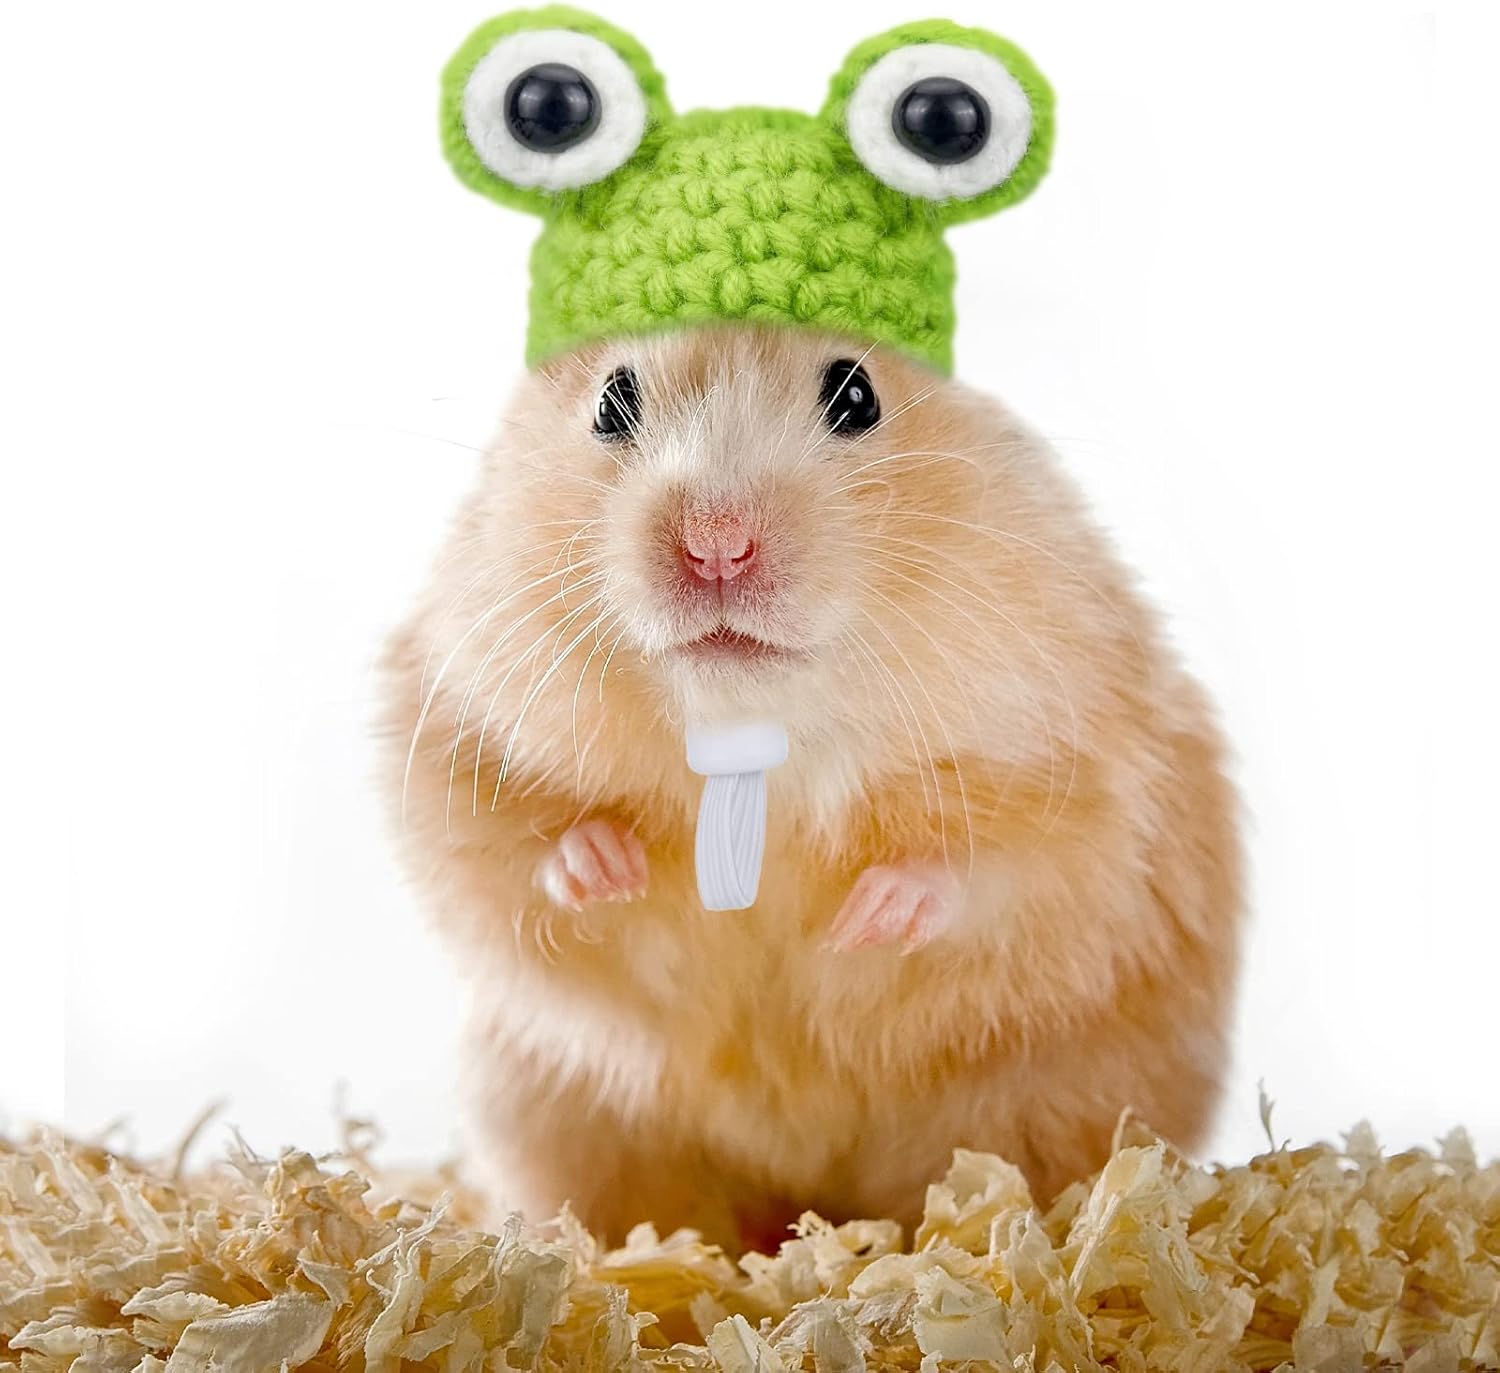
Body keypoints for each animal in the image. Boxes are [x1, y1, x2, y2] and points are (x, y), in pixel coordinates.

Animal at [380, 324, 1242, 1250]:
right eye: (612, 403)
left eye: (856, 396)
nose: (716, 546)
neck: (758, 734)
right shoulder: (446, 727)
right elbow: (506, 846)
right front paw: (609, 868)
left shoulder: (1086, 772)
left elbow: (1003, 868)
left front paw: (865, 918)